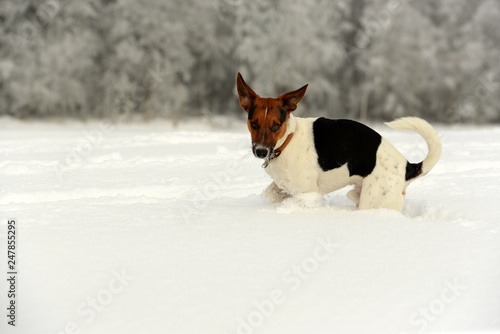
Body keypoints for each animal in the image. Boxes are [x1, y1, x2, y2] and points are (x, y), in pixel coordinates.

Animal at [235, 72, 442, 211]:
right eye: (254, 124)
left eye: (276, 125)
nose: (261, 151)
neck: (287, 141)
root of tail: (407, 166)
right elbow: (271, 193)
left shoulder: (309, 194)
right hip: (358, 193)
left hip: (373, 200)